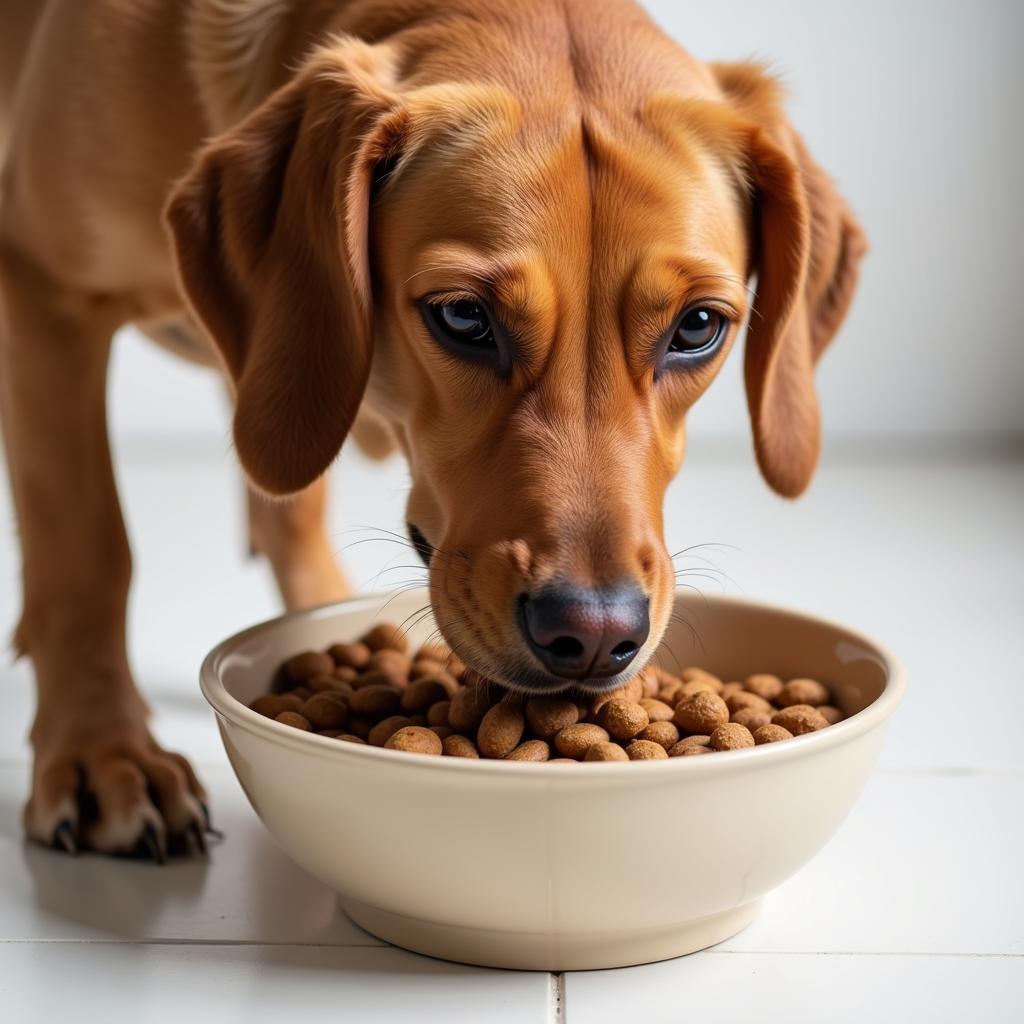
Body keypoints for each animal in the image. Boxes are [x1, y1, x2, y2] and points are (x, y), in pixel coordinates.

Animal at [0, 0, 864, 860]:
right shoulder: (43, 294)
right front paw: (102, 750)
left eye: (698, 327)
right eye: (463, 317)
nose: (592, 635)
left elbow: (288, 495)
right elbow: (87, 554)